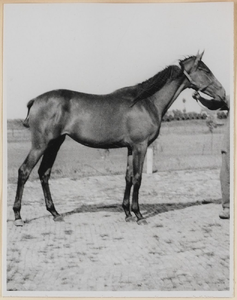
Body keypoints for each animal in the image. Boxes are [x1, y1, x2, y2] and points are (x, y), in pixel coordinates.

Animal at [12, 52, 226, 225]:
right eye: (205, 70)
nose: (223, 94)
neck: (147, 102)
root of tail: (36, 100)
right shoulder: (140, 146)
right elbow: (138, 178)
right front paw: (139, 215)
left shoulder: (131, 148)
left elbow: (128, 177)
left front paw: (127, 213)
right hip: (41, 144)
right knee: (24, 171)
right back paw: (18, 216)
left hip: (55, 144)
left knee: (44, 173)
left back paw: (55, 213)